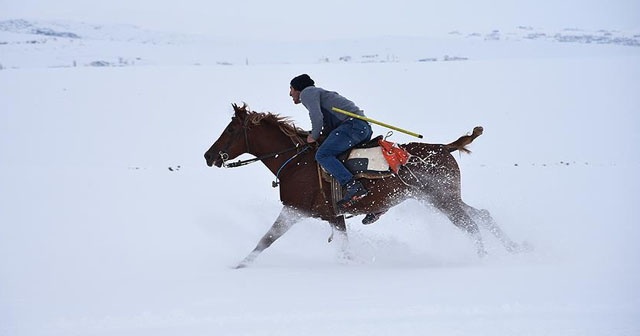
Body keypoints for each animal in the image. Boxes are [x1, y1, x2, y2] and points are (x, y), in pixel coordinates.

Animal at [205, 103, 524, 266]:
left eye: (231, 130)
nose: (208, 156)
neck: (295, 161)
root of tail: (445, 148)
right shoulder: (327, 216)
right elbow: (268, 240)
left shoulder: (300, 211)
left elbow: (268, 239)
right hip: (444, 198)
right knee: (482, 215)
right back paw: (516, 248)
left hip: (443, 200)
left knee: (471, 224)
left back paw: (483, 258)